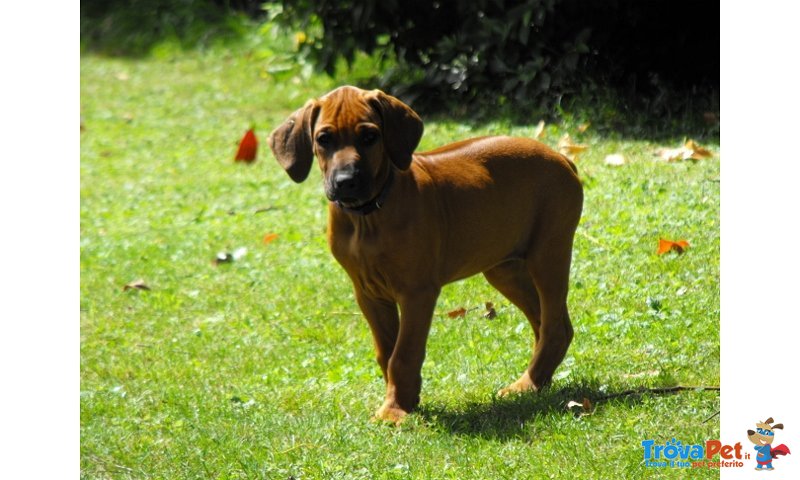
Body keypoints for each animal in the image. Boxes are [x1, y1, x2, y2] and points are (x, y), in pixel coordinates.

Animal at [268, 86, 580, 424]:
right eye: (324, 139)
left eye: (370, 137)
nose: (346, 182)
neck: (368, 216)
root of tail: (562, 157)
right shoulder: (368, 293)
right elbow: (386, 352)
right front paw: (406, 399)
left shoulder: (417, 292)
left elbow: (403, 354)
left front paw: (394, 410)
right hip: (504, 268)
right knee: (545, 322)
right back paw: (538, 380)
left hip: (548, 253)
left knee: (554, 327)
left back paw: (526, 384)